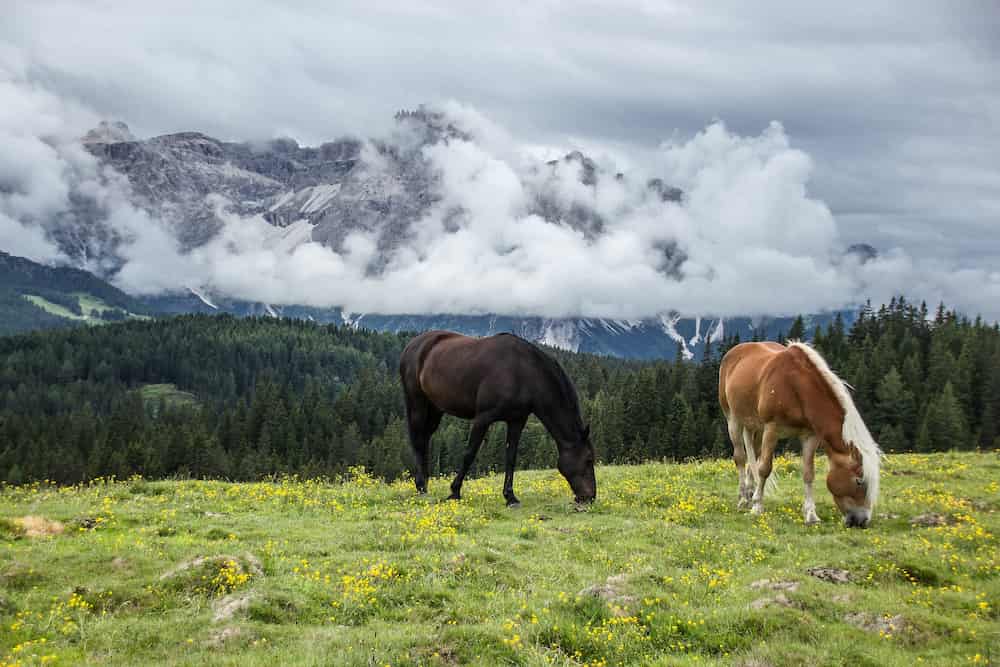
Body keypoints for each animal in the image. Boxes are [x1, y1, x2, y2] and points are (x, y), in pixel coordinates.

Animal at [399, 330, 596, 506]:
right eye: (588, 460)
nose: (590, 497)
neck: (522, 372)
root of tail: (412, 345)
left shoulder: (517, 421)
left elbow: (511, 457)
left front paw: (510, 497)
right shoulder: (482, 419)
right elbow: (469, 454)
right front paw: (454, 492)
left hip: (435, 409)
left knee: (425, 439)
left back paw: (424, 484)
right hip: (417, 402)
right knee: (418, 440)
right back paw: (421, 487)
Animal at [718, 341, 881, 528]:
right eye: (859, 481)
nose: (862, 521)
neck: (796, 386)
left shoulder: (810, 436)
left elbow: (808, 474)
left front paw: (811, 515)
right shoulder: (772, 429)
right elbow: (764, 468)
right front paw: (757, 507)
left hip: (756, 428)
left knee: (754, 457)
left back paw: (750, 494)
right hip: (733, 419)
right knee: (740, 458)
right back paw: (743, 500)